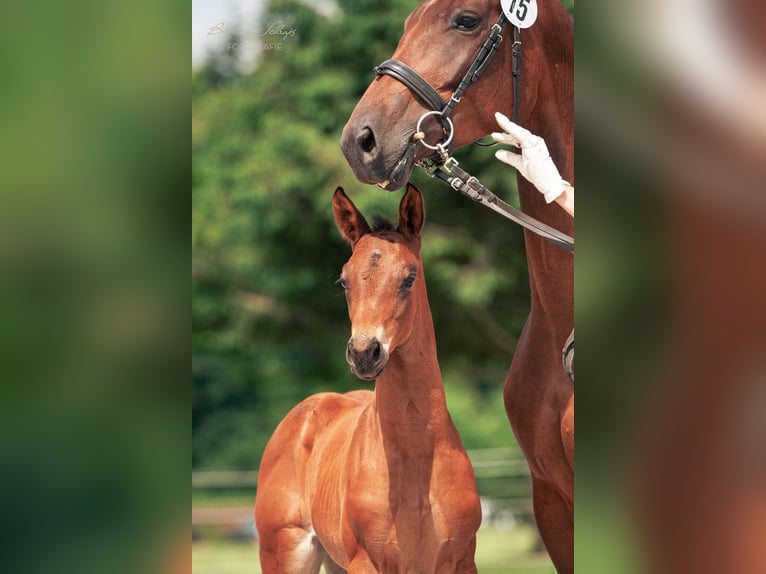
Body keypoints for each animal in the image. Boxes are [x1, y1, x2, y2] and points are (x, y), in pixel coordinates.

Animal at [256, 187, 480, 572]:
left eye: (409, 277)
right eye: (344, 280)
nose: (364, 353)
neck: (417, 457)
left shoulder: (462, 560)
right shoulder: (368, 561)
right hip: (284, 553)